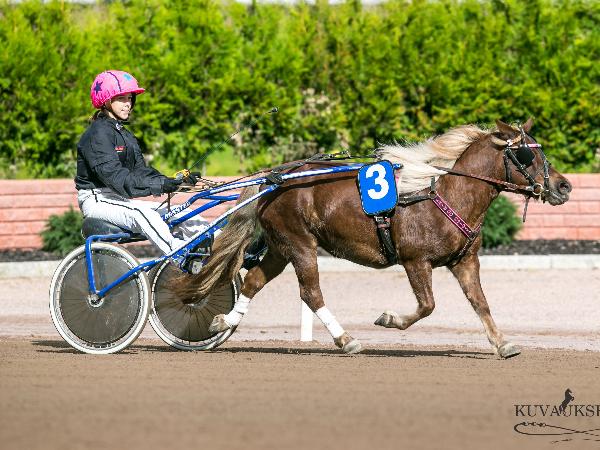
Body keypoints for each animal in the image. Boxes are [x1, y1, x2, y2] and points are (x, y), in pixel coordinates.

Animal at [174, 118, 572, 358]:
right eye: (526, 154)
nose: (563, 186)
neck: (444, 193)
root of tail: (277, 177)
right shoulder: (416, 261)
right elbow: (427, 306)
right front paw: (389, 319)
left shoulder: (464, 262)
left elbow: (481, 303)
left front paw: (502, 344)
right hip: (300, 244)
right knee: (311, 292)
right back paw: (346, 339)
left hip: (280, 246)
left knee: (254, 279)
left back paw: (224, 322)